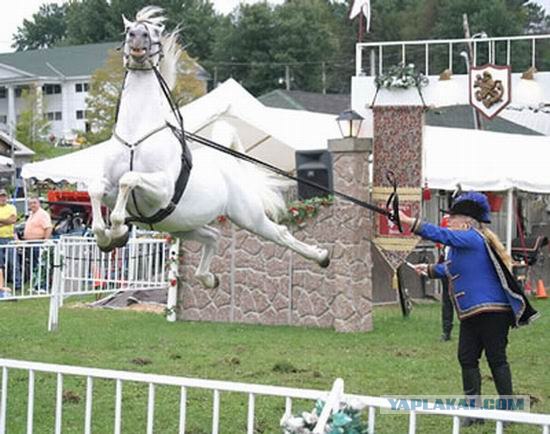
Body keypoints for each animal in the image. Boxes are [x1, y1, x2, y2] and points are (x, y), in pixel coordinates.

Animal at [89, 5, 332, 288]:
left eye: (155, 30)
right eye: (128, 30)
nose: (138, 38)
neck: (135, 137)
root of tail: (226, 162)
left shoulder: (162, 189)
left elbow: (128, 179)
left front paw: (117, 229)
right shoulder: (110, 189)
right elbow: (96, 190)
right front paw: (107, 237)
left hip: (247, 216)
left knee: (280, 233)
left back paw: (321, 256)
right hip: (181, 224)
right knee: (213, 235)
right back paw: (208, 278)